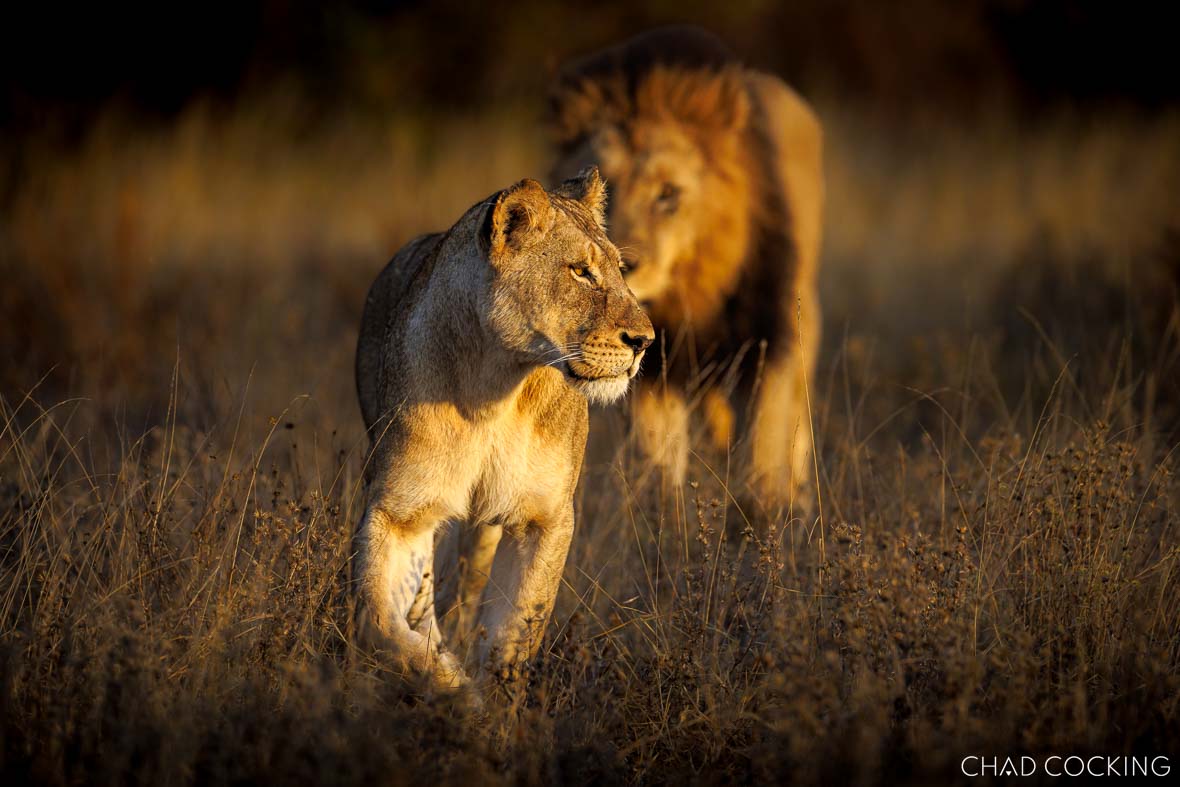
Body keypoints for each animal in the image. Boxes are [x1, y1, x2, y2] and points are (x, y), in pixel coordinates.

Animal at [353, 168, 653, 692]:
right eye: (580, 271)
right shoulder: (399, 510)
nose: (645, 341)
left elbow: (516, 630)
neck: (494, 390)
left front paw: (495, 695)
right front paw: (450, 681)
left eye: (621, 270)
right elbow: (381, 622)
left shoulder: (546, 516)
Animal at [548, 27, 824, 508]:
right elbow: (655, 461)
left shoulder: (769, 338)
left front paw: (765, 516)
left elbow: (763, 444)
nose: (625, 264)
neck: (690, 293)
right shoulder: (650, 368)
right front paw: (668, 522)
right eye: (604, 190)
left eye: (668, 193)